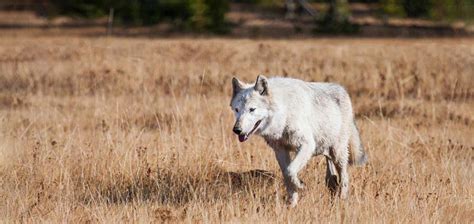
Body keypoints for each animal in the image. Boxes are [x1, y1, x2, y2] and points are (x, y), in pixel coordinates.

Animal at [230, 75, 366, 206]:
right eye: (237, 109)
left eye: (252, 109)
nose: (236, 129)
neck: (284, 113)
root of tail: (343, 90)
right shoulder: (280, 150)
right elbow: (286, 175)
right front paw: (292, 203)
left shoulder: (307, 145)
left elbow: (290, 171)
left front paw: (300, 186)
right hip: (327, 151)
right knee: (331, 178)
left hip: (338, 153)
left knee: (344, 178)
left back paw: (342, 200)